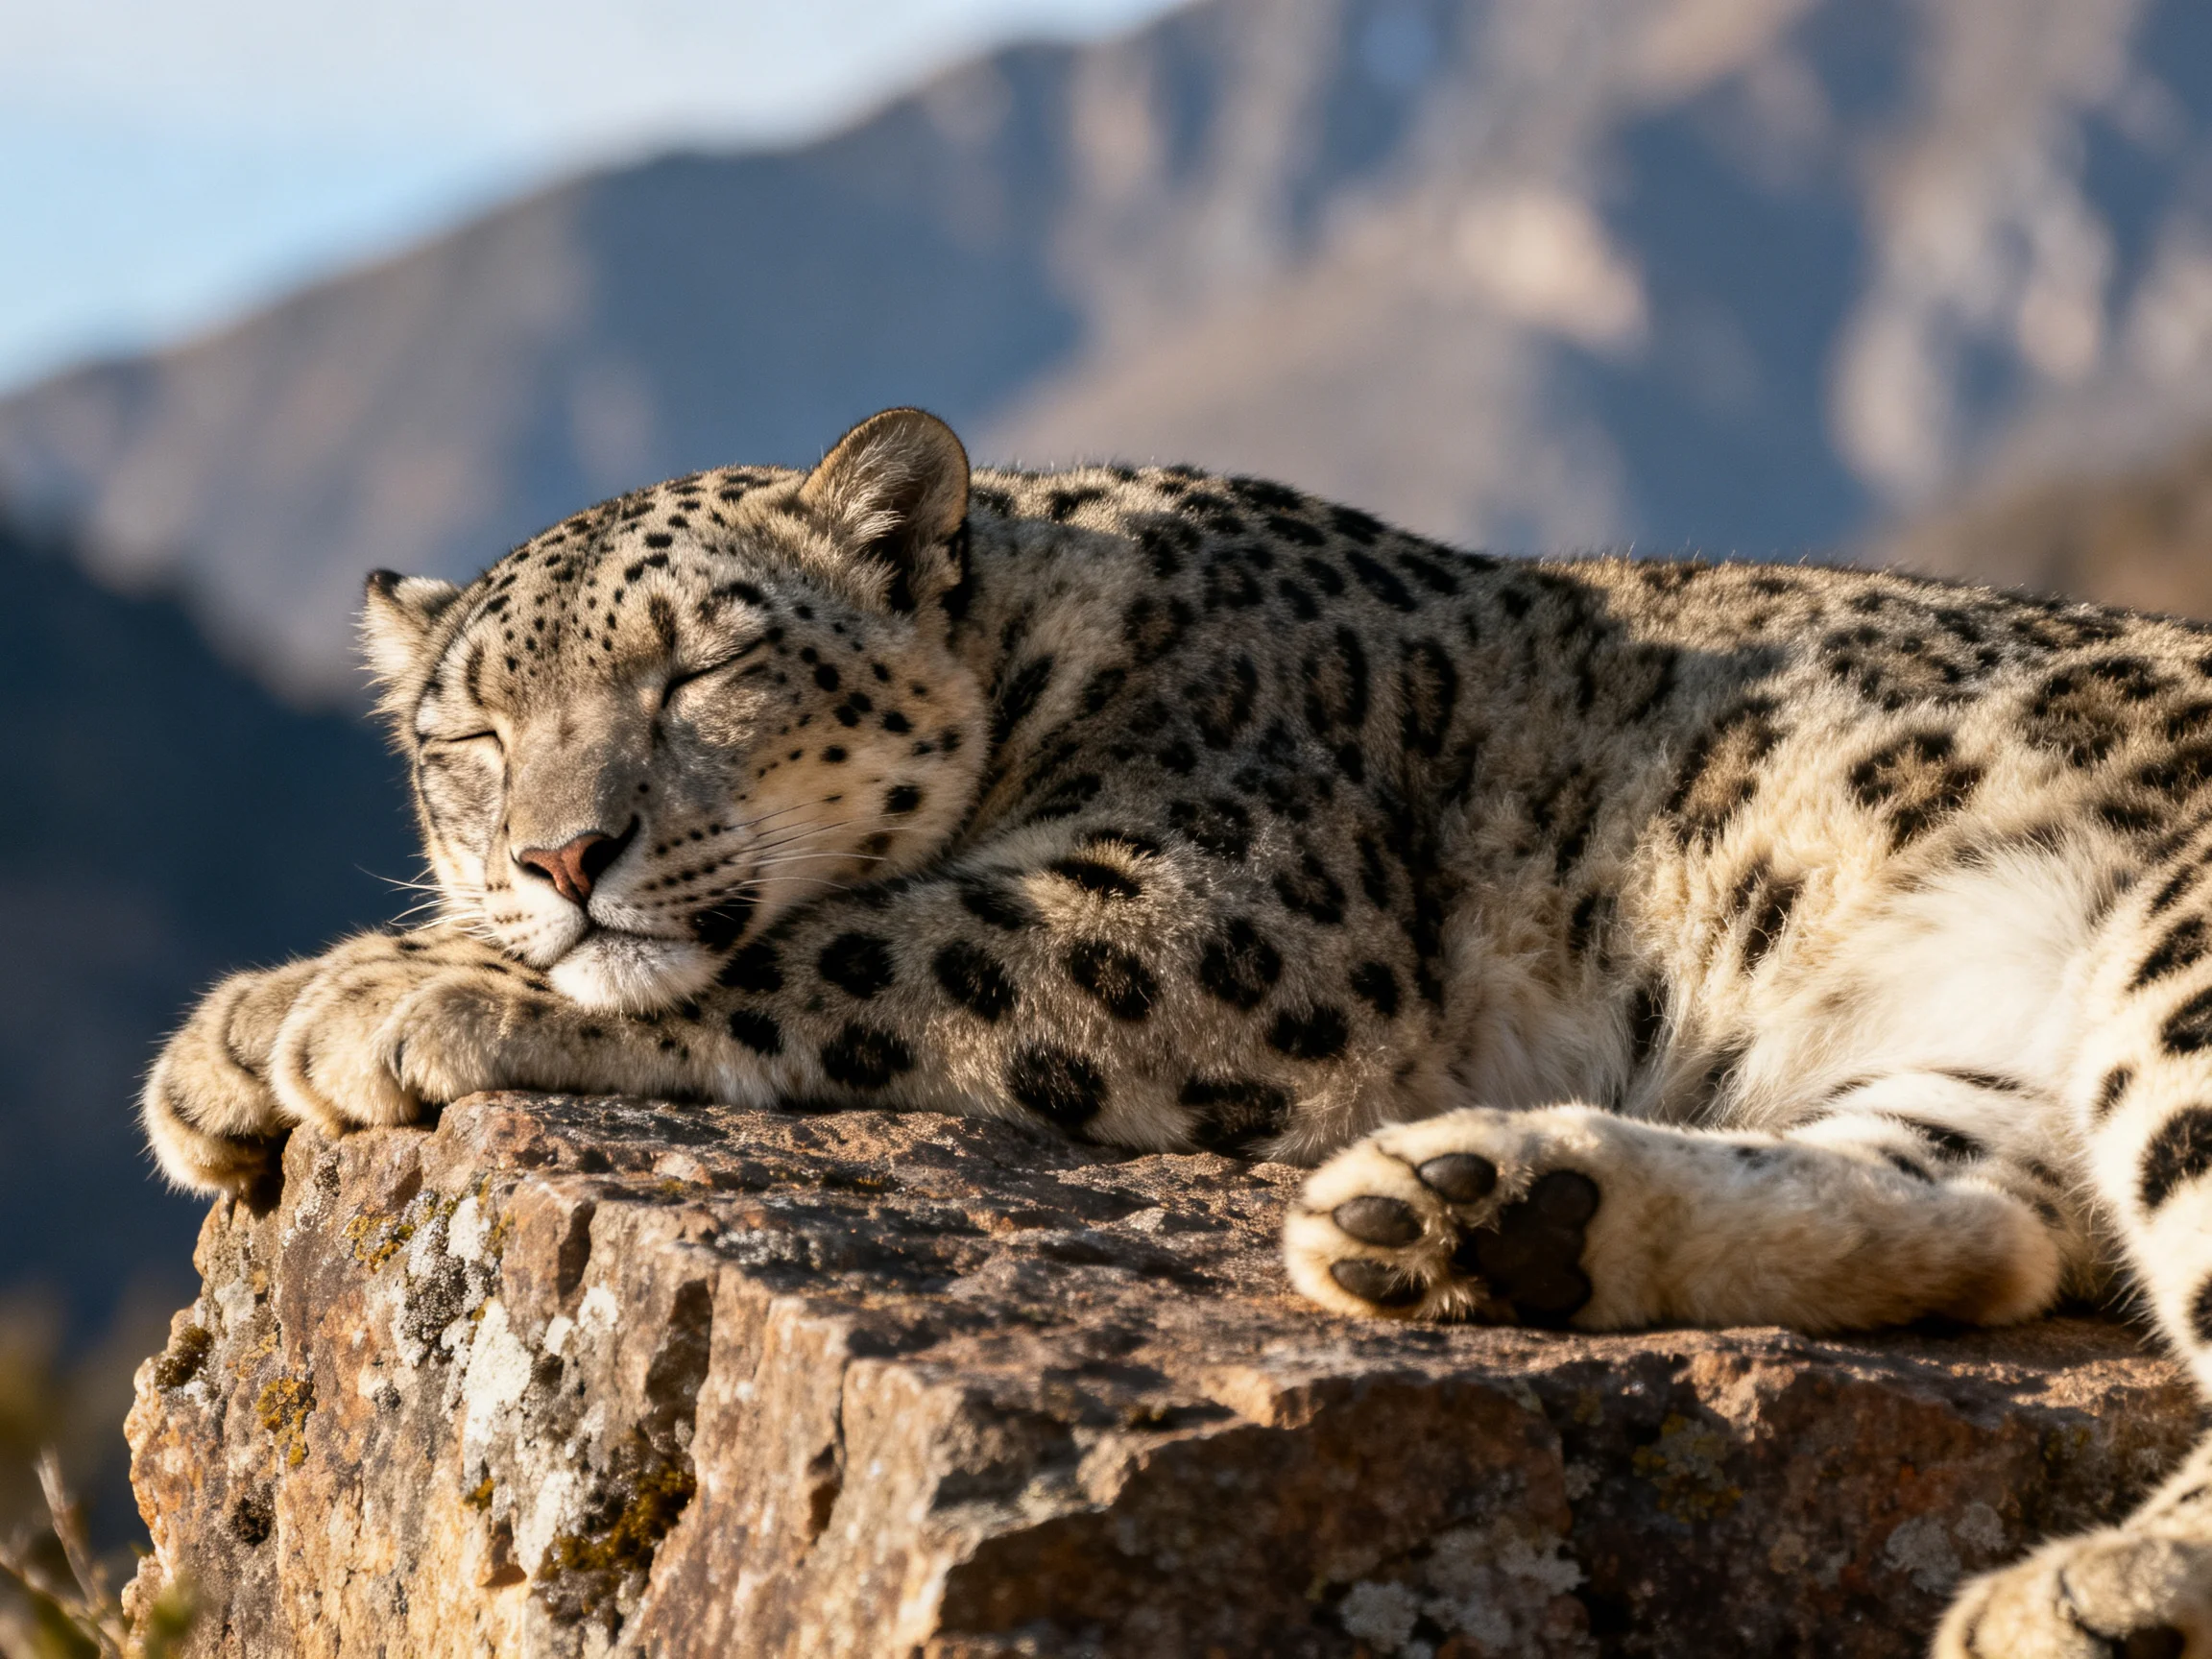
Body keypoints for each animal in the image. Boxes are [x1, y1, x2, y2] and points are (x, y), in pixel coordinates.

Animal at [143, 405, 2212, 1655]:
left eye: (708, 665)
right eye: (468, 734)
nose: (563, 853)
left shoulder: (1207, 905)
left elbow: (844, 937)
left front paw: (386, 998)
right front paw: (232, 1040)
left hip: (2175, 971)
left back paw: (2101, 1586)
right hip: (1980, 1068)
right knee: (1980, 1219)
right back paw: (1463, 1216)